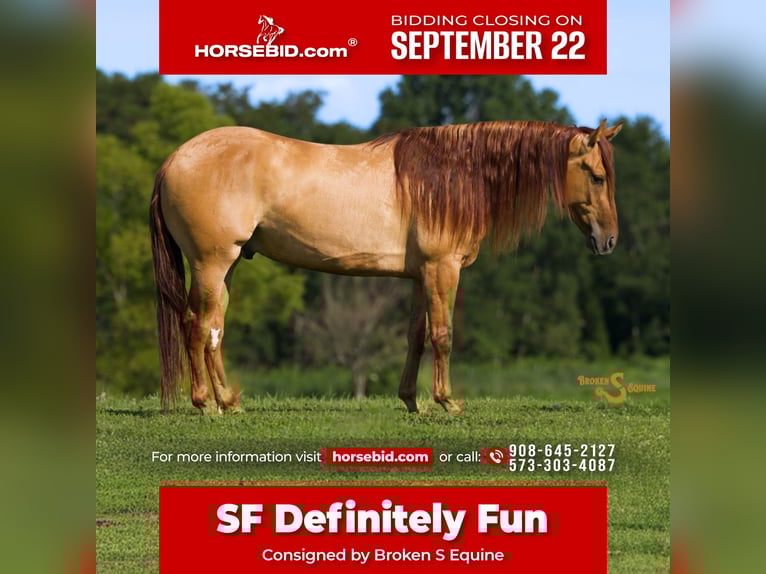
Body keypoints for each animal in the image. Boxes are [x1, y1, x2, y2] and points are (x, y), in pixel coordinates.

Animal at [150, 119, 622, 415]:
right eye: (597, 176)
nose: (609, 241)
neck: (452, 176)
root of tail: (174, 159)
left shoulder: (419, 276)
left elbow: (416, 337)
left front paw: (411, 400)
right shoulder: (442, 269)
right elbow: (443, 335)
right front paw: (447, 402)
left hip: (225, 266)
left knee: (212, 327)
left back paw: (228, 401)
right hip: (212, 263)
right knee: (199, 327)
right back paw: (207, 404)